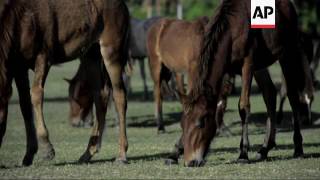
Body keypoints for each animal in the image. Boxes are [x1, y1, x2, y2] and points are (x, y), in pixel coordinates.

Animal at [0, 0, 130, 166]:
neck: (19, 15)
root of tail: (122, 5)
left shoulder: (43, 57)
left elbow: (36, 94)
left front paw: (46, 148)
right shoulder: (18, 66)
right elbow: (25, 105)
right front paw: (29, 154)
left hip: (111, 51)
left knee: (120, 95)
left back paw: (121, 154)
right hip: (91, 56)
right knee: (100, 96)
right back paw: (88, 152)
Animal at [171, 0, 314, 167]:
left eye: (201, 123)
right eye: (182, 125)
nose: (190, 161)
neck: (231, 29)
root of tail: (289, 5)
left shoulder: (248, 64)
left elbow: (243, 107)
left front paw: (243, 153)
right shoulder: (227, 69)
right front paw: (175, 152)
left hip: (287, 54)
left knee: (292, 95)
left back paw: (298, 147)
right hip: (261, 64)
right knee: (269, 93)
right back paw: (265, 148)